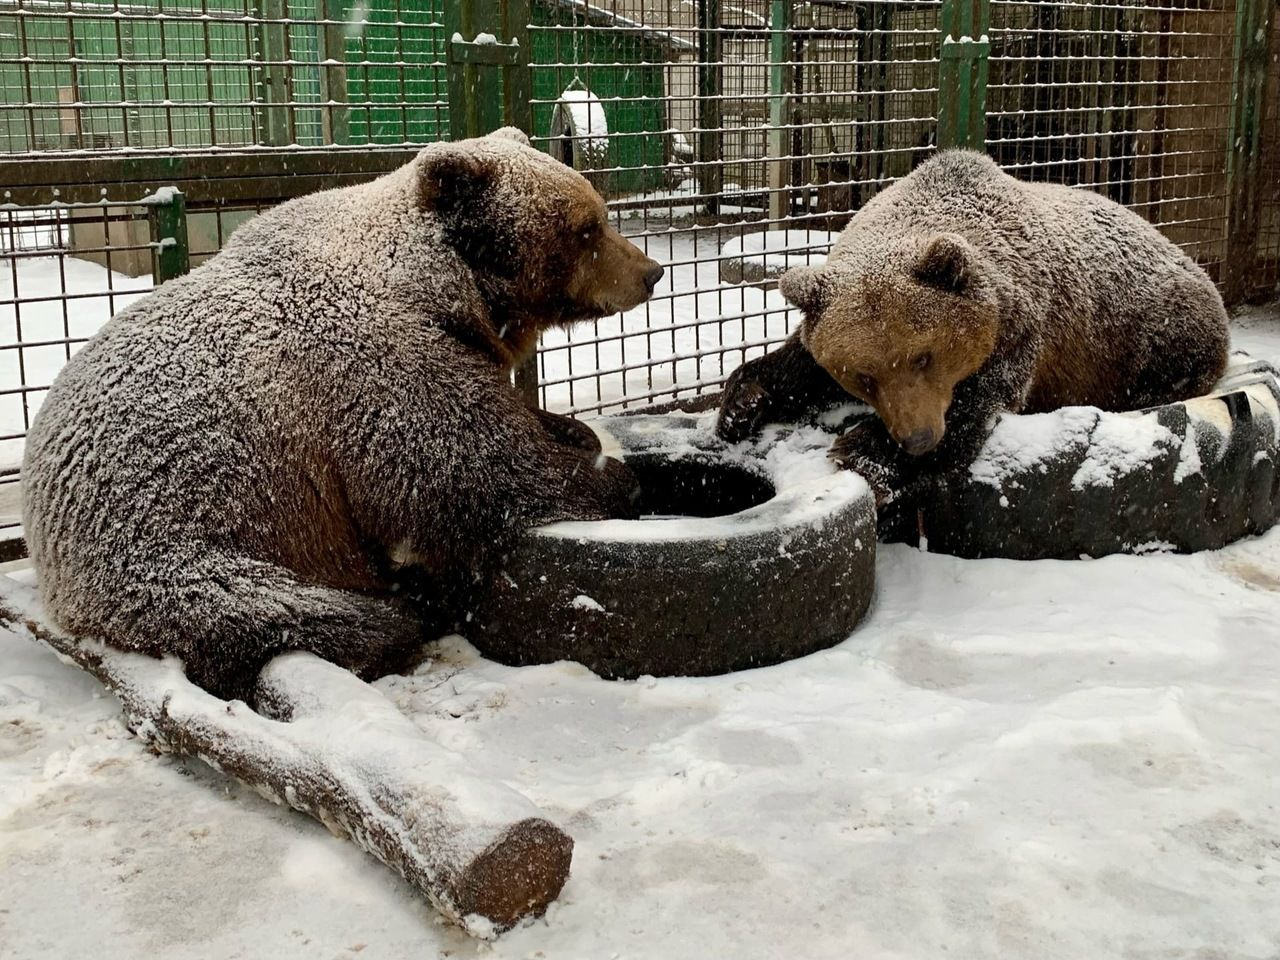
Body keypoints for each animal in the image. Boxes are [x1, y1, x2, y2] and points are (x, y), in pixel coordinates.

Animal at [24, 126, 665, 701]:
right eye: (587, 227)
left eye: (599, 213)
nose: (651, 272)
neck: (444, 293)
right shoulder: (375, 366)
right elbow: (469, 468)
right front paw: (613, 478)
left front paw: (574, 430)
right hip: (185, 543)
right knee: (301, 615)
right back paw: (406, 608)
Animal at [721, 148, 1228, 504]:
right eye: (863, 375)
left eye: (924, 356)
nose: (917, 438)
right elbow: (796, 367)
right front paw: (741, 406)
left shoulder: (1023, 327)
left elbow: (977, 401)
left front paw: (863, 449)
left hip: (1155, 328)